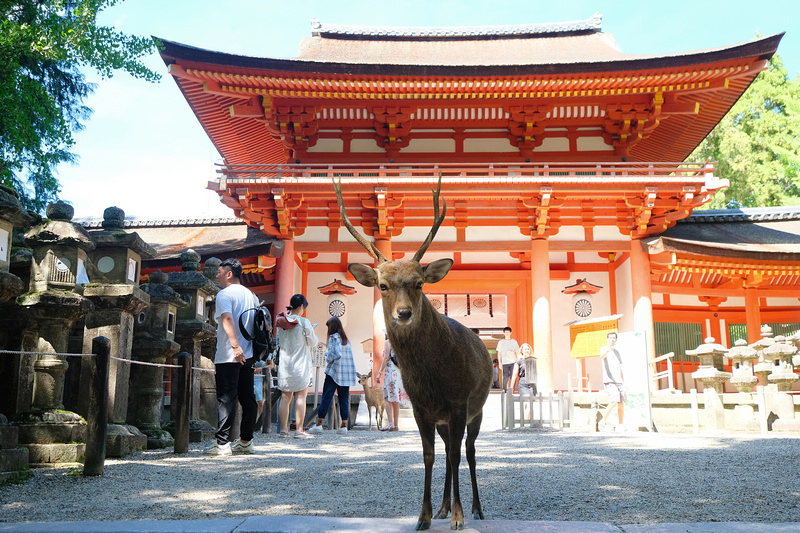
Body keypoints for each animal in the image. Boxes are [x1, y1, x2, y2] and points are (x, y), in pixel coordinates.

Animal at [332, 176, 494, 532]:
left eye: (419, 283)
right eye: (382, 285)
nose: (403, 313)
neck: (432, 377)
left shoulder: (458, 401)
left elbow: (456, 456)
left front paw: (459, 517)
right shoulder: (421, 407)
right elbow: (429, 456)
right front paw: (425, 516)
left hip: (476, 409)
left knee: (469, 452)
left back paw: (476, 509)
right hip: (444, 419)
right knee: (448, 451)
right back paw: (445, 508)